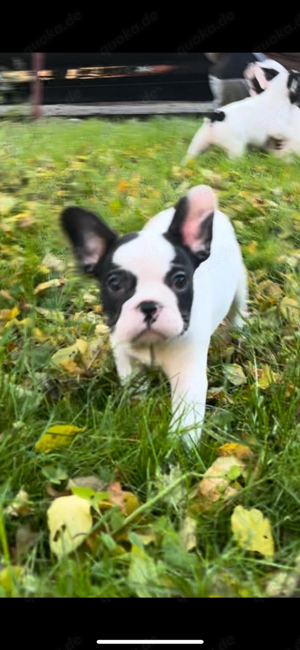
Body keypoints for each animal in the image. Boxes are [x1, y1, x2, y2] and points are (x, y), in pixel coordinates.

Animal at [60, 185, 246, 442]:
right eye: (114, 283)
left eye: (180, 281)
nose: (148, 305)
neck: (152, 345)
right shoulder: (127, 362)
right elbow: (136, 391)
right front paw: (137, 412)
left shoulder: (188, 376)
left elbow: (185, 419)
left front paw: (179, 446)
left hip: (240, 284)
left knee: (238, 309)